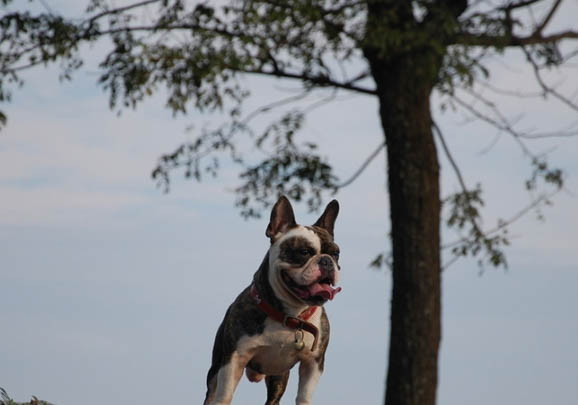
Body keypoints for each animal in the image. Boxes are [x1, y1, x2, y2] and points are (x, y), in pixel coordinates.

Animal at [202, 196, 340, 404]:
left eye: (336, 254)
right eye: (304, 252)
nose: (326, 261)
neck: (290, 315)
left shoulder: (313, 363)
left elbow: (304, 396)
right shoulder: (234, 360)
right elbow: (225, 395)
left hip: (279, 376)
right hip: (216, 368)